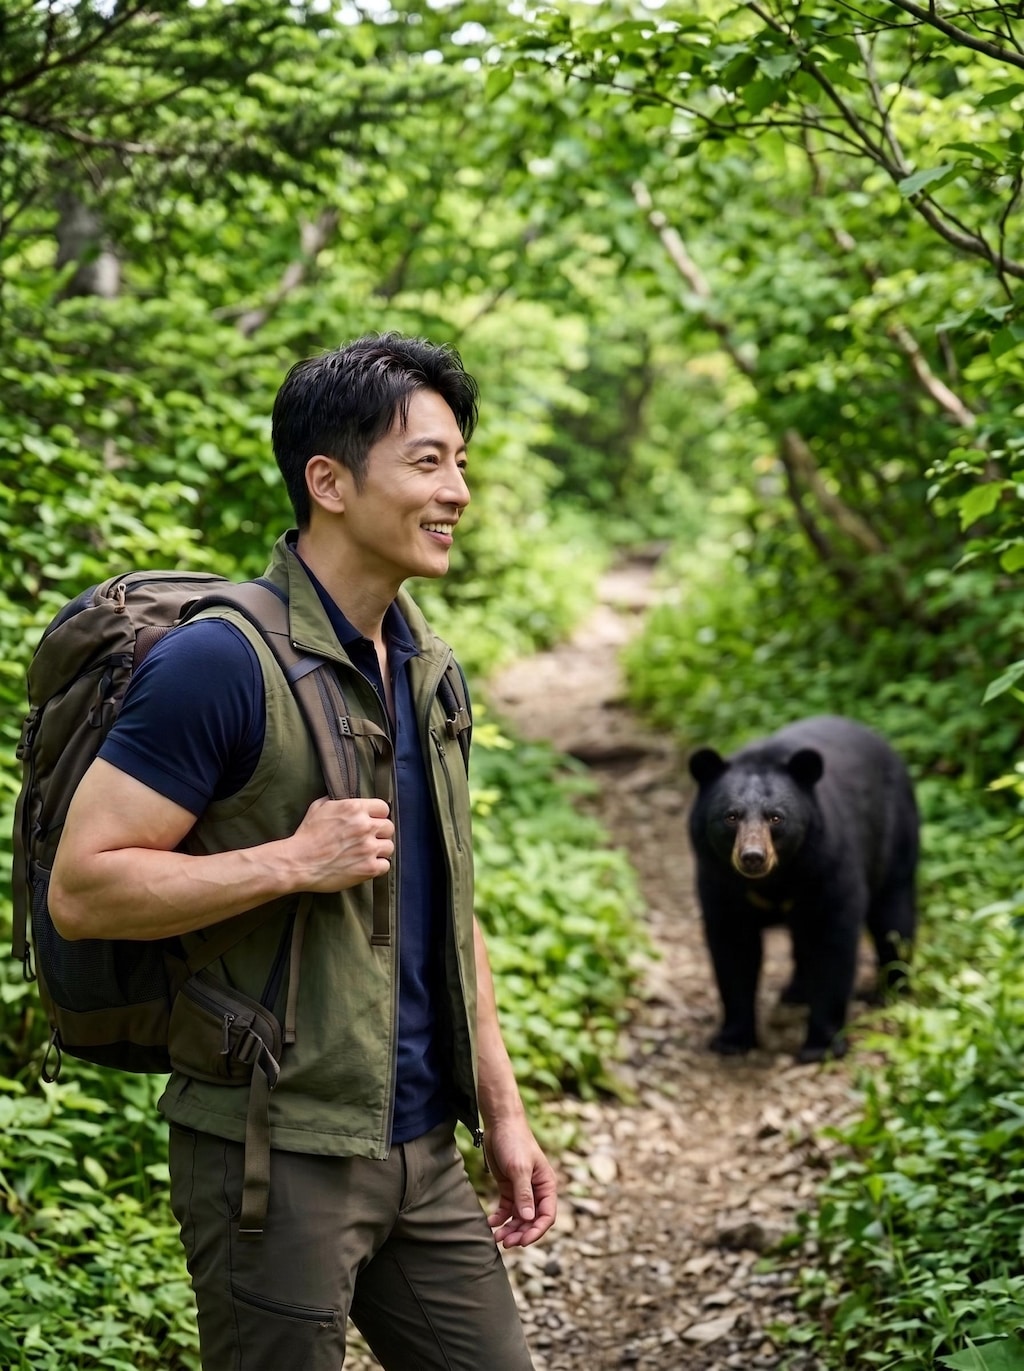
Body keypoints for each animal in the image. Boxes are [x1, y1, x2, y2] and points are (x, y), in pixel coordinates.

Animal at [687, 715, 919, 1063]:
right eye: (730, 816)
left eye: (775, 817)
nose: (753, 857)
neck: (777, 878)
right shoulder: (719, 881)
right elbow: (733, 950)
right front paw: (732, 1039)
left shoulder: (827, 866)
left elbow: (830, 945)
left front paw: (820, 1045)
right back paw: (795, 992)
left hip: (894, 837)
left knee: (893, 917)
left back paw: (889, 989)